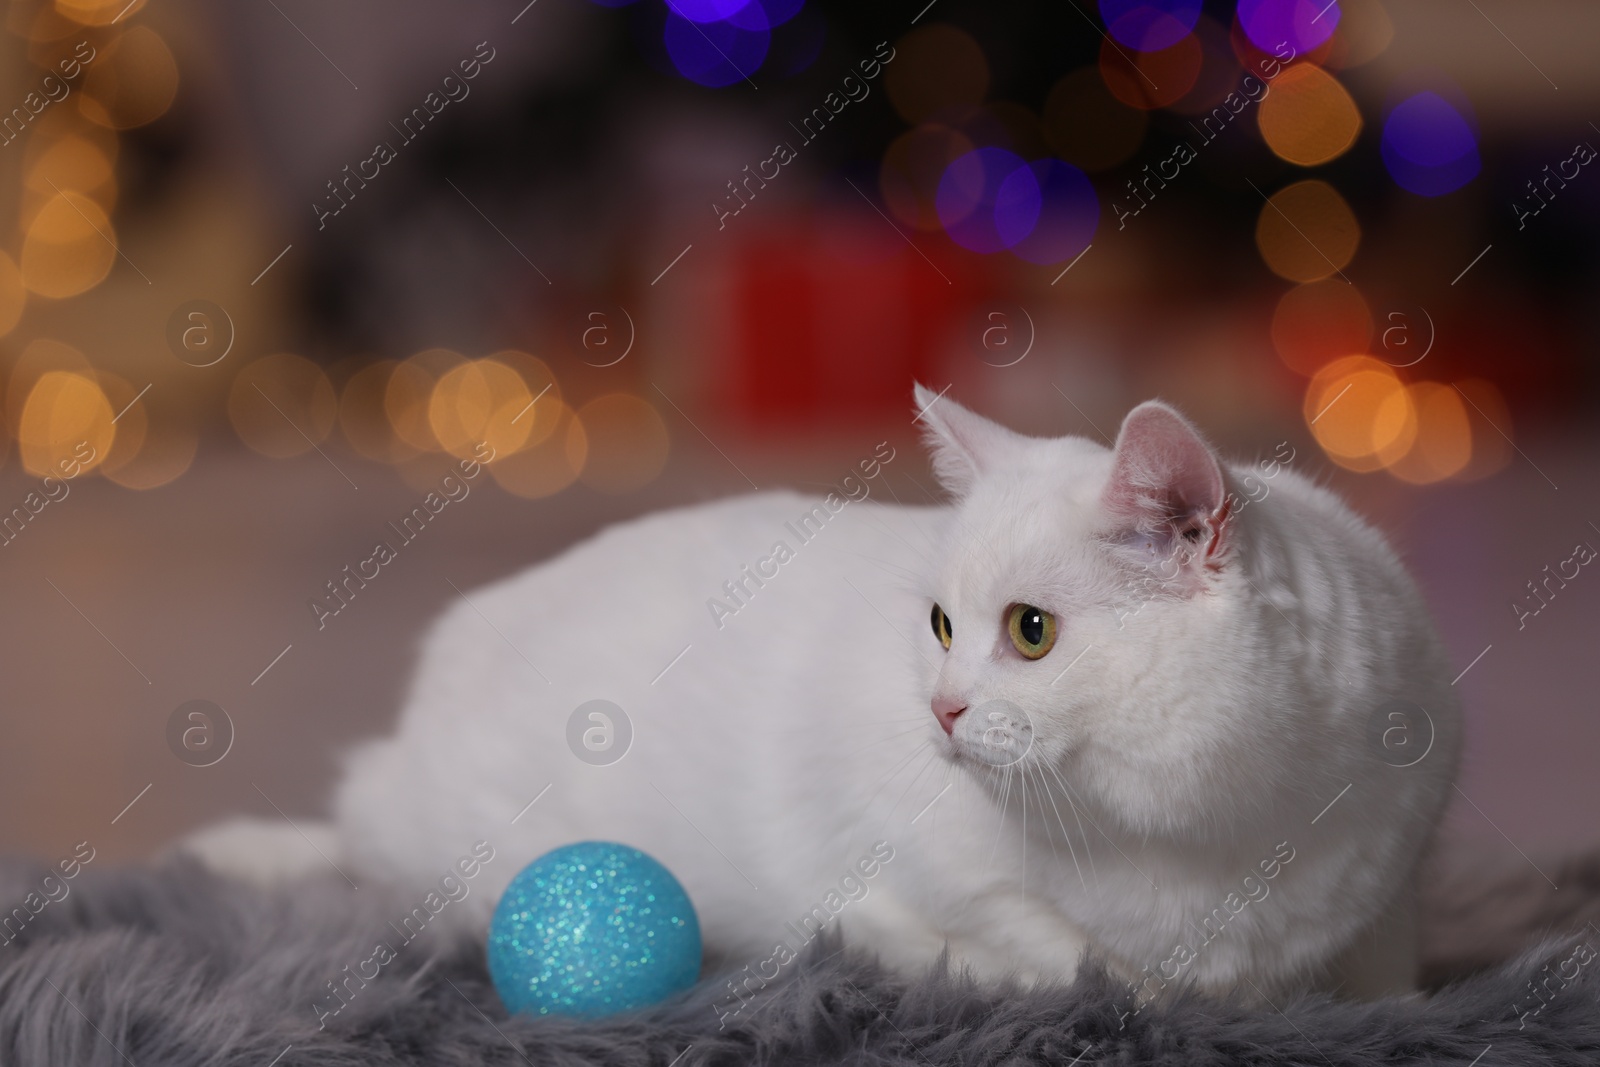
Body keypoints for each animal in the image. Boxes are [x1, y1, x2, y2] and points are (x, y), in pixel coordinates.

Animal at [190, 388, 1465, 1004]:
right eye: (939, 625)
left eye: (1030, 632)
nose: (939, 710)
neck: (1216, 830)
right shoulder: (913, 886)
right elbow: (1085, 968)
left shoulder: (1398, 861)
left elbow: (1387, 980)